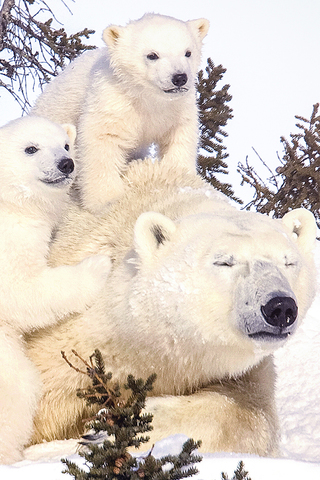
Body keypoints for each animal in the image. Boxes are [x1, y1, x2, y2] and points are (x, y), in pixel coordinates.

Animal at [26, 160, 316, 458]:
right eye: (224, 261)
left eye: (289, 262)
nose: (280, 307)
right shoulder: (65, 343)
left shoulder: (240, 370)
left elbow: (252, 414)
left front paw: (110, 429)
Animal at [31, 14, 208, 212]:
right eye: (152, 55)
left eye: (188, 52)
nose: (179, 77)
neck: (146, 99)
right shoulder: (113, 101)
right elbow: (102, 140)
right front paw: (106, 200)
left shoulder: (177, 108)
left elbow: (179, 138)